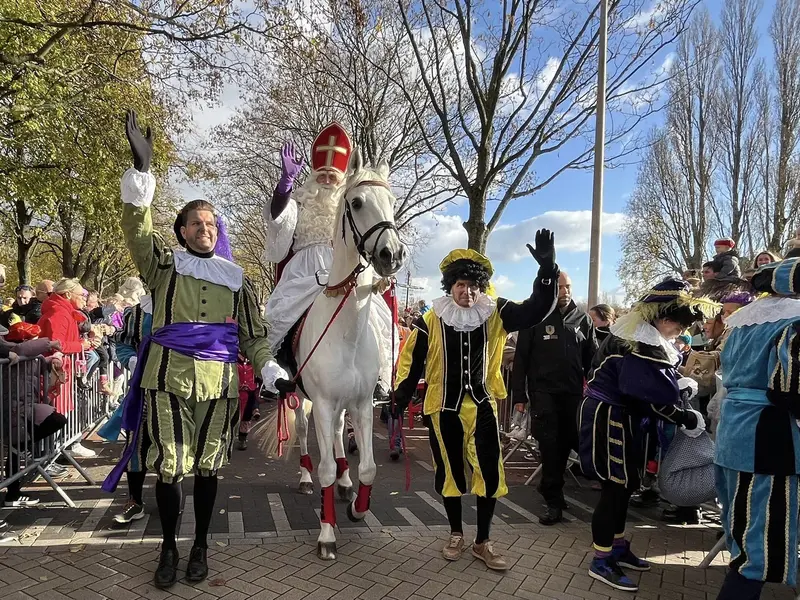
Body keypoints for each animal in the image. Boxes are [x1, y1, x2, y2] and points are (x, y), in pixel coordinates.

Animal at [268, 149, 404, 556]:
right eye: (356, 203)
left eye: (392, 201)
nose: (392, 255)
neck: (347, 330)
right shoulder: (324, 403)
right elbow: (325, 466)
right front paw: (327, 534)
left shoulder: (361, 404)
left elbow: (368, 467)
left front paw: (358, 507)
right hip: (301, 396)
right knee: (303, 432)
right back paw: (305, 477)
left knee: (340, 436)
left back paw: (345, 485)